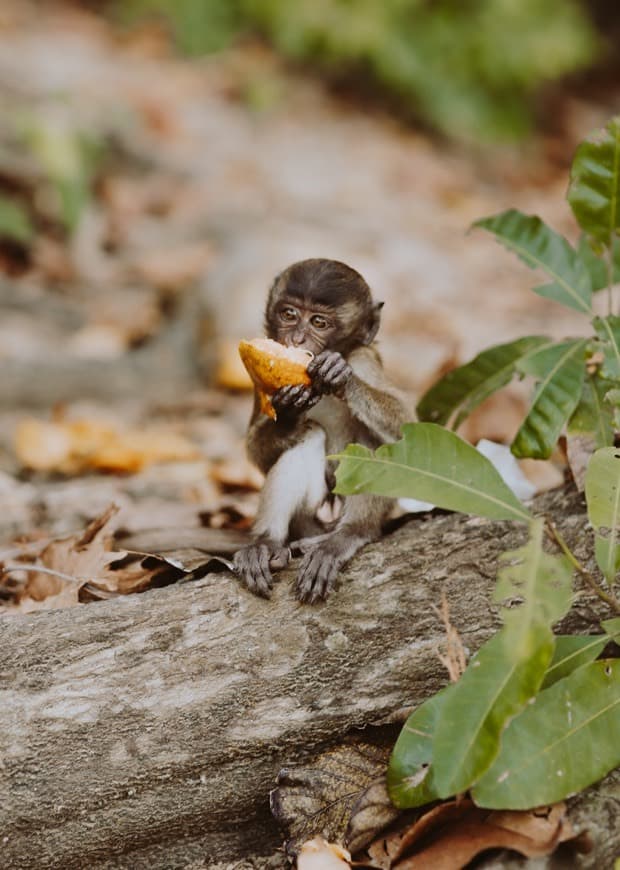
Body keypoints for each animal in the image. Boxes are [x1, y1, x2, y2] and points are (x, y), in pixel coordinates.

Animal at [232, 255, 406, 604]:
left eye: (319, 323)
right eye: (289, 314)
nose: (296, 340)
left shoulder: (365, 358)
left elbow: (410, 432)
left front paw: (341, 376)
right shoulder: (257, 379)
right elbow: (257, 453)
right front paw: (288, 413)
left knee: (371, 441)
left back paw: (347, 535)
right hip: (305, 521)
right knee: (309, 434)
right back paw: (266, 543)